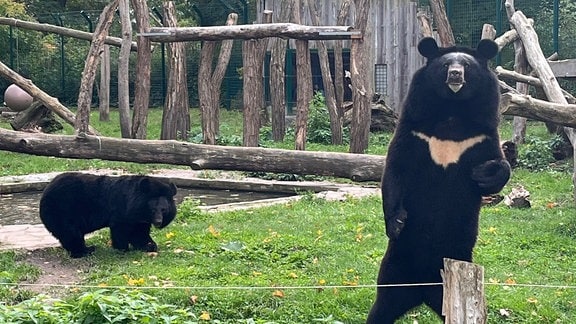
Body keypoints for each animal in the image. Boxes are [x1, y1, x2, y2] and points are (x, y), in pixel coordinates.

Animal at [40, 172, 178, 258]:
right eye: (153, 209)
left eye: (164, 210)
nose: (158, 222)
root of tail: (45, 192)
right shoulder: (123, 210)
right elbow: (121, 228)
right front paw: (122, 248)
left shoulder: (140, 219)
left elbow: (139, 233)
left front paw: (149, 245)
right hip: (63, 211)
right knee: (71, 232)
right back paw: (85, 251)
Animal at [366, 36, 510, 322]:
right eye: (445, 64)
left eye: (467, 65)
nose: (455, 75)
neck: (451, 111)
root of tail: (421, 292)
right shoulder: (415, 131)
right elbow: (396, 169)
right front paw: (397, 222)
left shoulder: (481, 135)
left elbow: (499, 164)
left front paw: (484, 173)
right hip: (393, 269)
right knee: (383, 305)